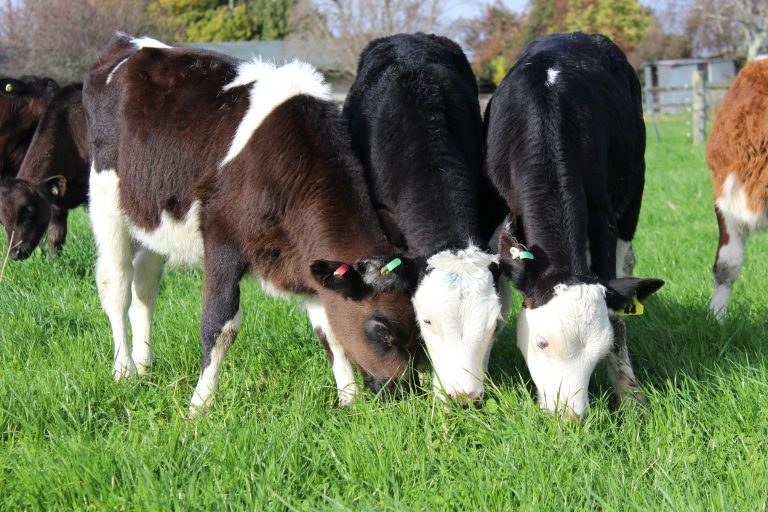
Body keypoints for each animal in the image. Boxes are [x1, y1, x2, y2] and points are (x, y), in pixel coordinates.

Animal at [0, 84, 88, 259]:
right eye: (2, 221)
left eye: (29, 213)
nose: (15, 253)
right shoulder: (56, 202)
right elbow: (55, 235)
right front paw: (54, 261)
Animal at [83, 34, 422, 414]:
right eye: (382, 330)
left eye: (418, 331)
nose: (406, 393)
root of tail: (131, 42)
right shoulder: (222, 240)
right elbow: (220, 324)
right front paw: (200, 404)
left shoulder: (306, 258)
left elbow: (329, 331)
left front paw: (348, 397)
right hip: (105, 197)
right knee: (116, 285)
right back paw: (124, 370)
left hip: (152, 213)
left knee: (145, 284)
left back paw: (144, 365)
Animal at [484, 32, 664, 418]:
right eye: (541, 343)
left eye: (600, 350)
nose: (568, 416)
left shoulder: (603, 218)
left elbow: (617, 311)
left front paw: (628, 393)